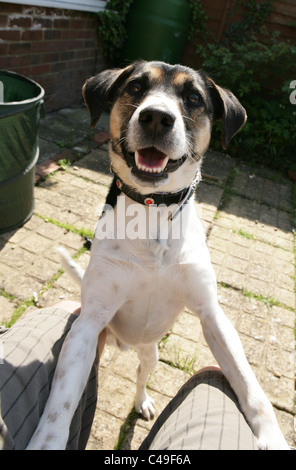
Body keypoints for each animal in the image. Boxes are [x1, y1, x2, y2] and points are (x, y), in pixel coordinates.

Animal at [27, 60, 290, 450]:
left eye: (194, 97)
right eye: (135, 87)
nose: (155, 117)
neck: (152, 210)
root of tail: (124, 343)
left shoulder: (213, 316)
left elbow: (250, 385)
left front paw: (272, 437)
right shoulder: (87, 326)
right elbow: (58, 409)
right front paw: (46, 442)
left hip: (151, 352)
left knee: (140, 376)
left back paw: (143, 402)